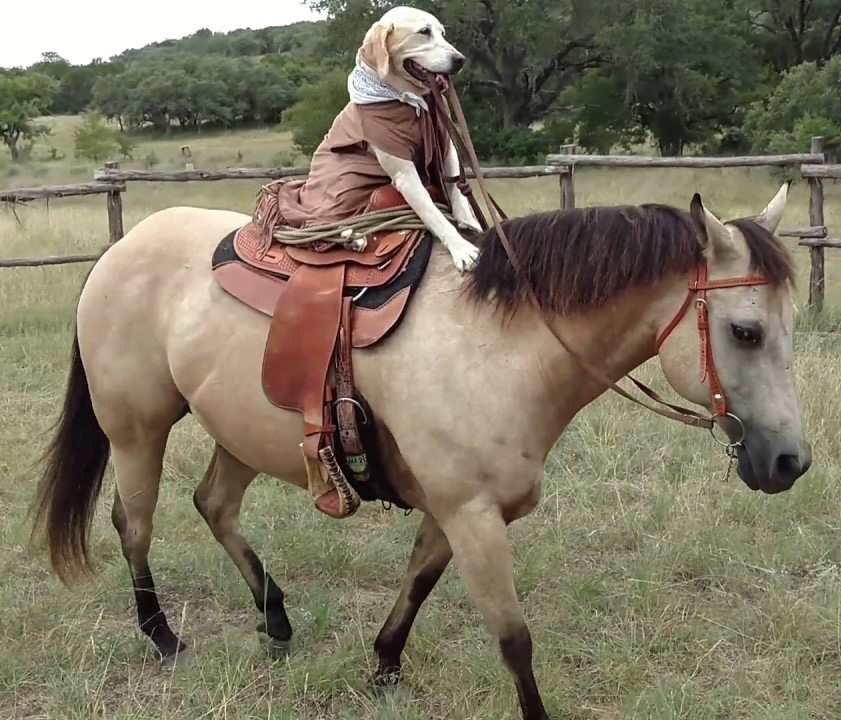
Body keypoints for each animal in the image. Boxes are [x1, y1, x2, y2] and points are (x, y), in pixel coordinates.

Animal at [31, 179, 808, 720]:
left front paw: (383, 667)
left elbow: (416, 584)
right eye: (743, 331)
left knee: (213, 505)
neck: (502, 345)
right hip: (137, 429)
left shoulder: (454, 510)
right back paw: (163, 638)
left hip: (241, 430)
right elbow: (514, 641)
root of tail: (120, 249)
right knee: (134, 525)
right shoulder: (472, 515)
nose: (790, 462)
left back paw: (275, 619)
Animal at [348, 6, 480, 270]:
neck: (408, 100)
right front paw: (462, 249)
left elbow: (458, 194)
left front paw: (469, 222)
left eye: (442, 33)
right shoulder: (405, 176)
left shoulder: (447, 148)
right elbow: (434, 215)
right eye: (424, 32)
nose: (460, 60)